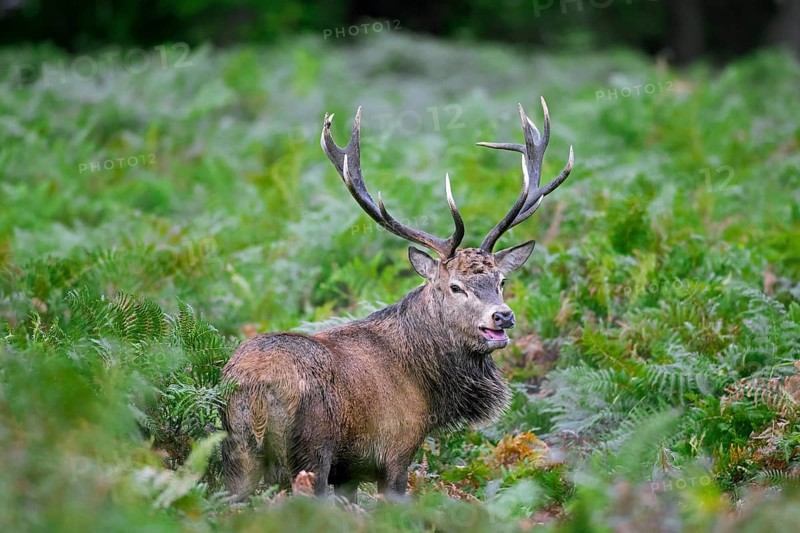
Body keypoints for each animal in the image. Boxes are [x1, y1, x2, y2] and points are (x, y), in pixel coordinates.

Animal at [220, 98, 573, 502]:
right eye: (455, 287)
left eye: (501, 281)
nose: (502, 316)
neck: (429, 387)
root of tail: (254, 389)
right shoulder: (395, 449)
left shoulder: (349, 471)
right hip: (312, 451)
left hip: (237, 455)